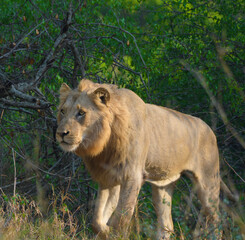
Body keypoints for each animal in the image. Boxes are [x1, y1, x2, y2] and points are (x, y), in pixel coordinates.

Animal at [56, 79, 236, 239]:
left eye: (81, 113)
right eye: (63, 111)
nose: (61, 133)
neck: (105, 142)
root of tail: (210, 129)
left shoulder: (132, 176)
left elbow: (121, 218)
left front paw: (113, 232)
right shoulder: (108, 179)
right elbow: (97, 220)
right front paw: (105, 231)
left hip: (208, 183)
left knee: (215, 221)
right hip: (163, 187)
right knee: (166, 226)